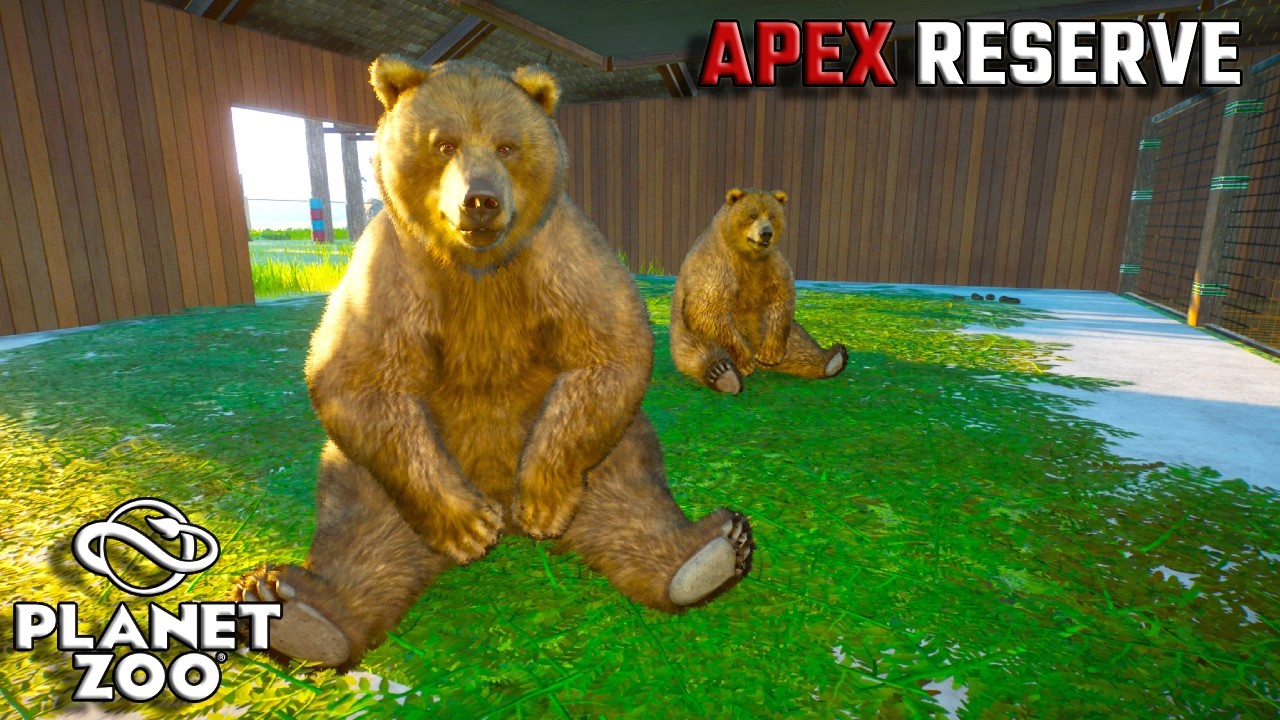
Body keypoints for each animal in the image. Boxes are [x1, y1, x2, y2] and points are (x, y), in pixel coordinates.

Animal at [231, 57, 754, 670]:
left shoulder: (561, 255)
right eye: (444, 144)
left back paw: (707, 555)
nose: (479, 200)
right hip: (373, 482)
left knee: (633, 495)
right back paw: (292, 610)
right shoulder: (391, 268)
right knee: (359, 529)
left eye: (507, 146)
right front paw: (469, 527)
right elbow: (355, 376)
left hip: (607, 460)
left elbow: (609, 347)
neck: (477, 267)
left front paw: (541, 503)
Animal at [669, 188, 848, 394]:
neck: (748, 256)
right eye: (752, 215)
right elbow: (708, 309)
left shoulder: (771, 264)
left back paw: (833, 359)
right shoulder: (716, 265)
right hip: (686, 333)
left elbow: (781, 298)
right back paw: (723, 373)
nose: (766, 233)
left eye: (772, 216)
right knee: (699, 351)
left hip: (776, 333)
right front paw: (745, 361)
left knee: (798, 345)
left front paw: (769, 356)